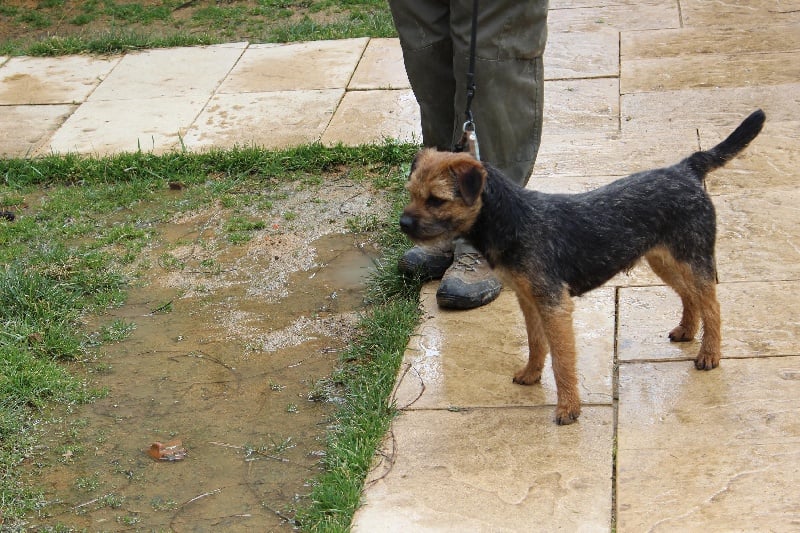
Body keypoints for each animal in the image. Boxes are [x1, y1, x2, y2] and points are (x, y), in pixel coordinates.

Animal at [399, 109, 765, 424]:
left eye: (436, 200)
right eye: (411, 193)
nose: (403, 223)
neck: (513, 219)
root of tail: (686, 168)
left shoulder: (554, 305)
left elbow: (562, 360)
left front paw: (568, 408)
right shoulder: (529, 300)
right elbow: (536, 343)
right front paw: (531, 374)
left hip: (692, 257)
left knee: (712, 304)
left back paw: (710, 354)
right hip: (663, 260)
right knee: (690, 295)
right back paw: (688, 330)